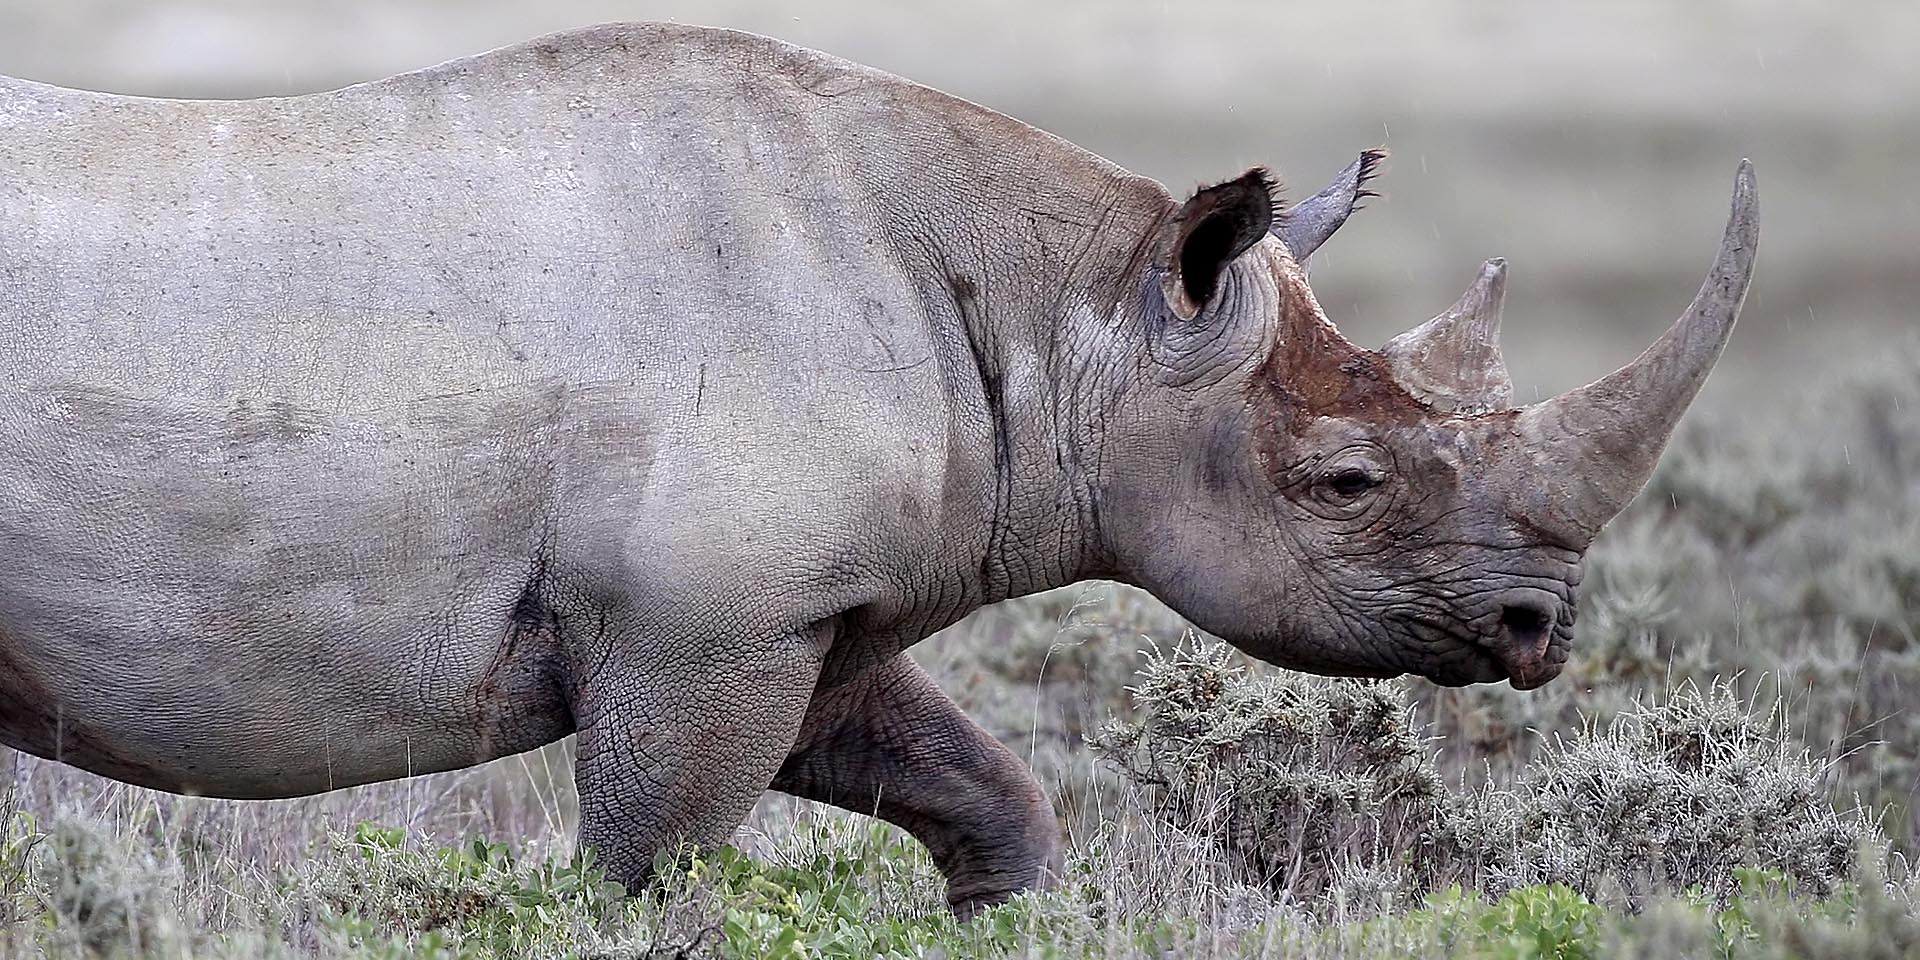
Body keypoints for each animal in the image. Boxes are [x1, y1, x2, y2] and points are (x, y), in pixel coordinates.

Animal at [0, 22, 1756, 914]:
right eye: (1344, 487)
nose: (1540, 630)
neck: (1077, 314)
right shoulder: (701, 626)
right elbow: (652, 878)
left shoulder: (797, 618)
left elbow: (987, 796)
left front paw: (998, 919)